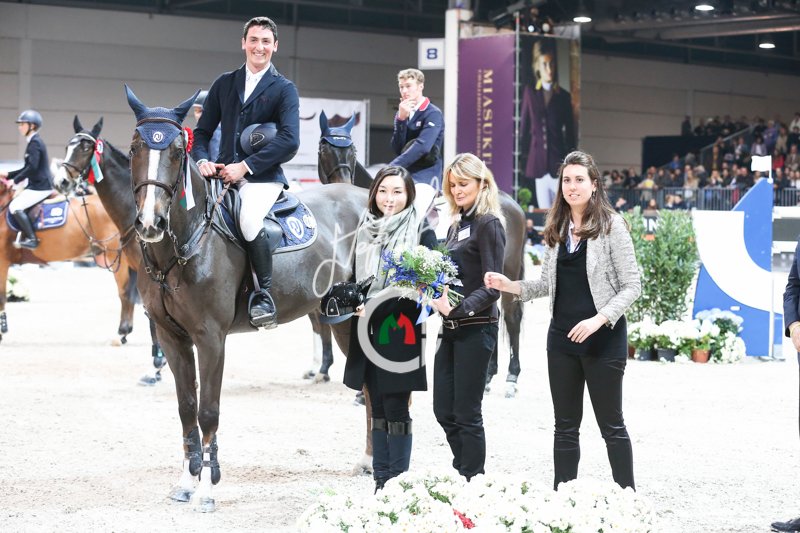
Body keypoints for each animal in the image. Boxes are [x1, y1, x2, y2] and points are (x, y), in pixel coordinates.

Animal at [123, 87, 370, 511]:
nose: (150, 223)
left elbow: (208, 411)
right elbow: (186, 408)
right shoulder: (172, 338)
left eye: (175, 150)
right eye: (136, 146)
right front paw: (186, 483)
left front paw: (207, 490)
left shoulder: (210, 338)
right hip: (341, 317)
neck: (186, 243)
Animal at [317, 111, 526, 397]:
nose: (342, 186)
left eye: (352, 150)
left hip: (507, 272)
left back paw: (511, 379)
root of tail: (512, 203)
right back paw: (488, 378)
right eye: (323, 149)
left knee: (512, 317)